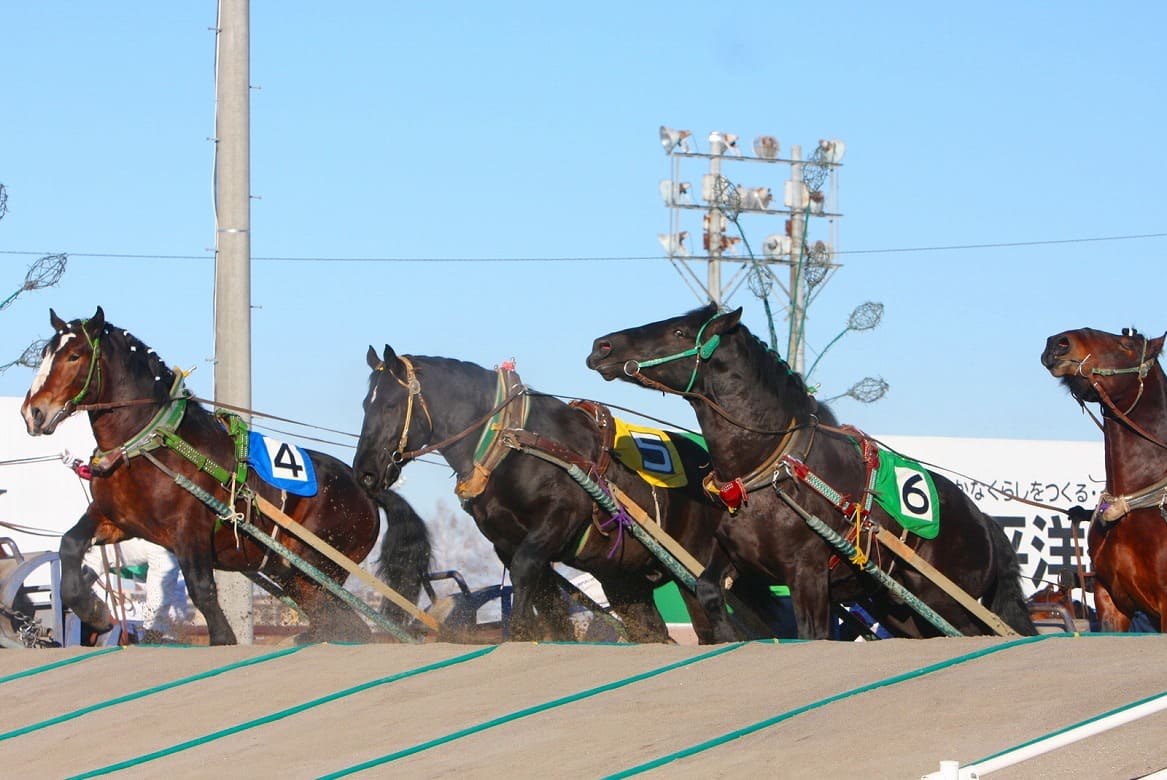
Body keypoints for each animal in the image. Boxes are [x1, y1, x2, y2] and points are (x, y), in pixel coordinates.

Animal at [21, 308, 434, 644]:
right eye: (45, 354)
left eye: (74, 355)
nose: (33, 412)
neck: (152, 444)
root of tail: (364, 488)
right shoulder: (115, 520)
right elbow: (70, 545)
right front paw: (93, 611)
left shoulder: (189, 532)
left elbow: (203, 591)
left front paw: (222, 637)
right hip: (293, 572)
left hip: (318, 567)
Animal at [350, 345, 788, 639]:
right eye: (364, 404)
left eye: (390, 405)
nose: (366, 474)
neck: (513, 445)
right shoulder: (507, 544)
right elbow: (544, 600)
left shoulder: (555, 522)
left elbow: (527, 574)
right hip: (626, 582)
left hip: (696, 568)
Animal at [588, 303, 1036, 639]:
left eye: (680, 332)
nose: (602, 345)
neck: (771, 472)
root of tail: (985, 522)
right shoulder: (733, 557)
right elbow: (709, 591)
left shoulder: (807, 573)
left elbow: (812, 633)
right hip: (899, 608)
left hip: (946, 599)